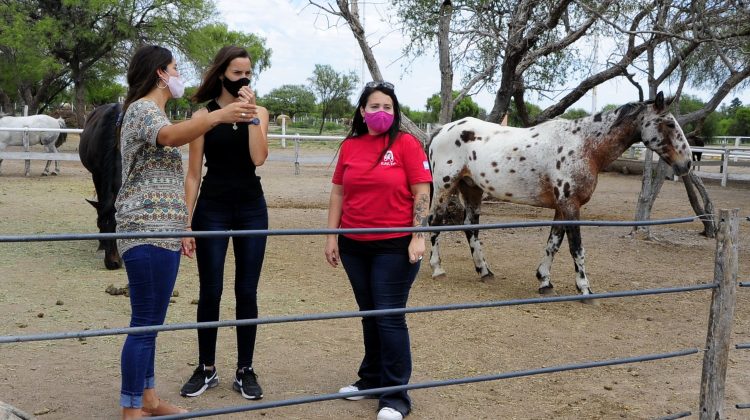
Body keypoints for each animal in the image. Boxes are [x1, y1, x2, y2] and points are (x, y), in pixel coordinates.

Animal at [428, 92, 692, 296]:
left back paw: (485, 271)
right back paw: (437, 268)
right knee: (434, 222)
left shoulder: (562, 208)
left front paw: (544, 281)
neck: (584, 146)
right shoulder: (571, 206)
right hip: (445, 187)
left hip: (472, 188)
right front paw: (584, 288)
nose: (687, 163)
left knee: (471, 228)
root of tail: (442, 130)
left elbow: (553, 243)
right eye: (670, 124)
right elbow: (576, 247)